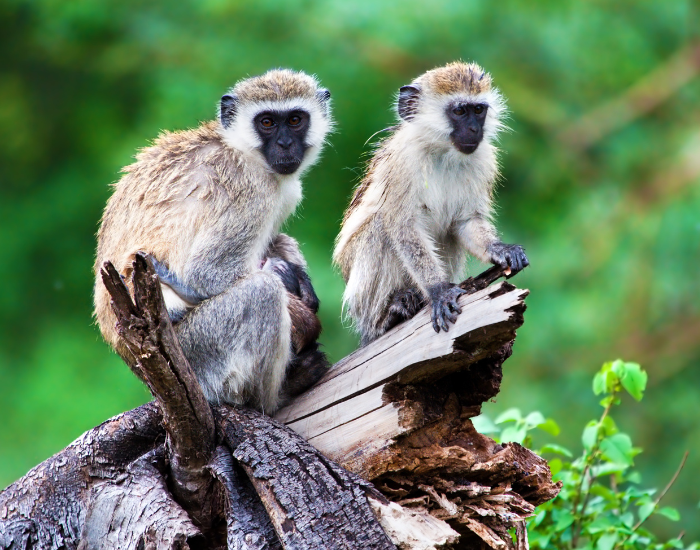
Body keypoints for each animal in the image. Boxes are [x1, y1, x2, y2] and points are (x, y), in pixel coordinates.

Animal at [94, 69, 333, 413]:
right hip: (197, 354)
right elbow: (207, 274)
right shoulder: (250, 190)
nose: (286, 144)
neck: (241, 148)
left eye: (295, 120)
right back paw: (275, 397)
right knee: (261, 293)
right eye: (267, 122)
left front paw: (303, 287)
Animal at [333, 62, 528, 346]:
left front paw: (499, 249)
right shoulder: (403, 162)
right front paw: (438, 290)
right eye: (459, 111)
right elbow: (403, 227)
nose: (475, 130)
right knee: (379, 228)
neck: (443, 152)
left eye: (478, 110)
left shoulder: (483, 160)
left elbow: (466, 222)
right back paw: (388, 314)